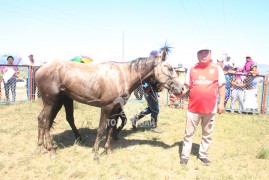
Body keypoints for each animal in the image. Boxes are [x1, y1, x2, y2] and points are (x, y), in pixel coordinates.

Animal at [35, 46, 182, 158]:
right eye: (169, 68)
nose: (181, 88)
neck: (122, 76)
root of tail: (40, 69)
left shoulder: (116, 108)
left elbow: (111, 129)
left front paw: (108, 149)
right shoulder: (106, 107)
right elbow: (101, 128)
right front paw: (95, 152)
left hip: (59, 101)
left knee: (43, 119)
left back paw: (41, 147)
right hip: (51, 102)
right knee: (46, 122)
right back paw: (51, 150)